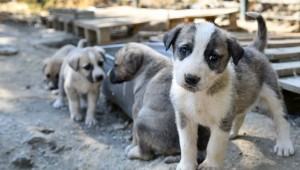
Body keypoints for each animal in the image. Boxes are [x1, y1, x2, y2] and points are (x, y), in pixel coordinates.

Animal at [163, 11, 294, 169]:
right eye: (184, 50)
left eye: (213, 57)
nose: (191, 78)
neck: (200, 95)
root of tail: (254, 49)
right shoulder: (184, 118)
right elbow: (186, 144)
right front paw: (186, 165)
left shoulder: (222, 122)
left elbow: (214, 146)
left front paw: (210, 165)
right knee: (241, 115)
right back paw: (233, 132)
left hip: (273, 95)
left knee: (282, 118)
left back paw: (284, 145)